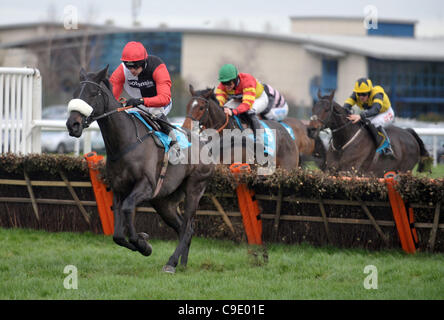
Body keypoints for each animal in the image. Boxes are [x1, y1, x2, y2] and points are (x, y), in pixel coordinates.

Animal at [64, 66, 215, 274]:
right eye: (74, 93)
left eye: (93, 93)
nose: (73, 124)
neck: (124, 142)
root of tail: (205, 146)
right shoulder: (119, 190)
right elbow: (118, 235)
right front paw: (142, 242)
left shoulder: (145, 186)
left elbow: (128, 208)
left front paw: (143, 243)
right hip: (164, 202)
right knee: (182, 227)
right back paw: (181, 263)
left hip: (194, 188)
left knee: (187, 228)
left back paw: (171, 263)